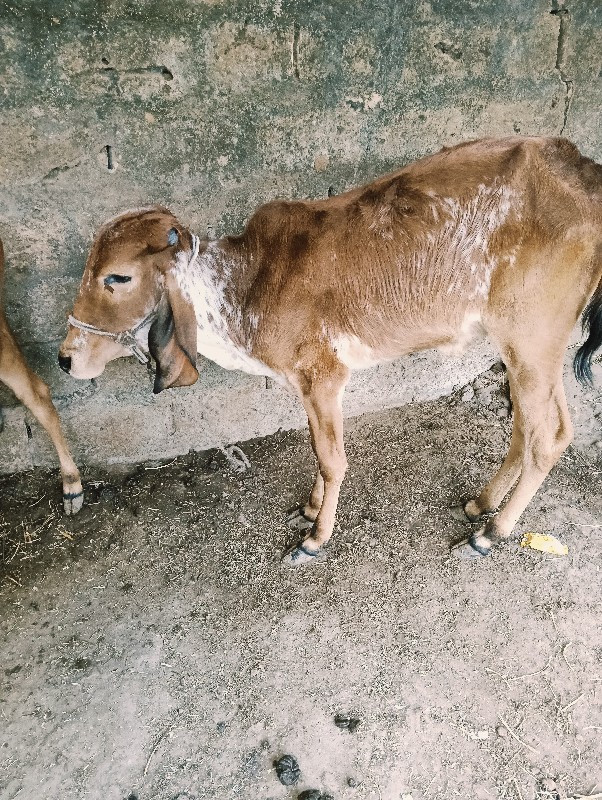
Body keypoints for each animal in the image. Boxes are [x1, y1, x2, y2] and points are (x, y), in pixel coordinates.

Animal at [58, 138, 596, 564]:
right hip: (530, 351)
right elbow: (318, 453)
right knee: (536, 428)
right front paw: (312, 508)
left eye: (118, 277)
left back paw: (491, 533)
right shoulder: (306, 385)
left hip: (530, 343)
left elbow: (332, 459)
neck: (246, 286)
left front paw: (315, 538)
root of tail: (580, 168)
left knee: (546, 438)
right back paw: (481, 505)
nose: (65, 358)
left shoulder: (324, 376)